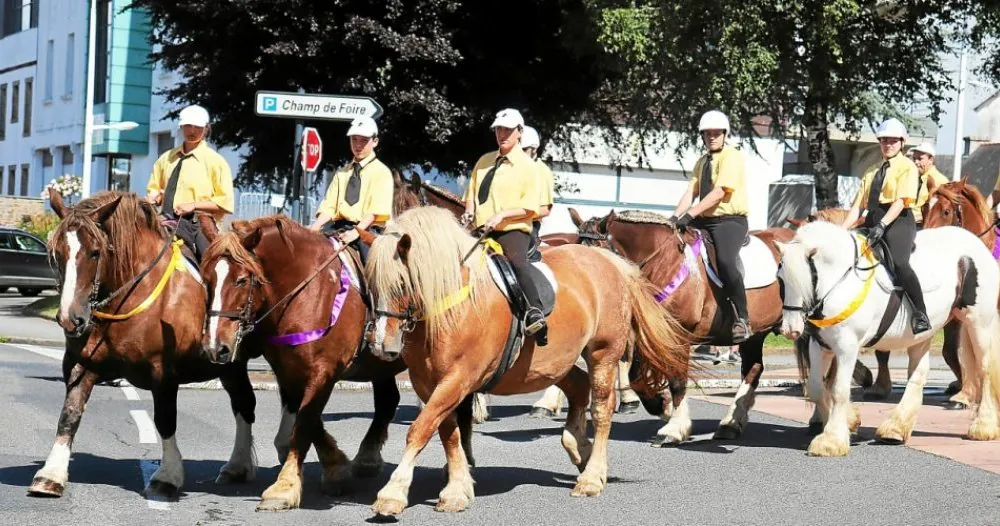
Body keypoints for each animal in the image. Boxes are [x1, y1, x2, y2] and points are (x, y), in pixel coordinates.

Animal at [31, 193, 258, 504]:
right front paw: (51, 474)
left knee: (247, 404)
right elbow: (70, 414)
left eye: (95, 252)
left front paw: (168, 476)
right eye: (57, 253)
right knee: (242, 403)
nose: (70, 318)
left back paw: (240, 465)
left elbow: (165, 419)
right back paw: (238, 466)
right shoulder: (82, 365)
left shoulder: (163, 372)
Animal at [364, 207, 692, 520]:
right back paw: (579, 448)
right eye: (370, 286)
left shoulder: (459, 378)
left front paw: (393, 494)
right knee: (578, 387)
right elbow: (448, 432)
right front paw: (456, 491)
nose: (380, 345)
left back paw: (592, 476)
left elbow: (420, 430)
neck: (450, 306)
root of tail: (609, 260)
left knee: (601, 409)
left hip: (603, 352)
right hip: (555, 362)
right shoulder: (429, 383)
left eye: (402, 284)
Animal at [592, 210, 796, 446]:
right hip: (756, 333)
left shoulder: (679, 334)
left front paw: (673, 429)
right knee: (753, 369)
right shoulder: (654, 335)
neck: (664, 263)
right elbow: (636, 377)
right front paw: (662, 407)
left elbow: (678, 380)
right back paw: (730, 423)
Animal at [776, 223, 1000, 458]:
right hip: (921, 336)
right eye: (781, 280)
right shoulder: (820, 345)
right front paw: (845, 424)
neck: (841, 281)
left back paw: (983, 426)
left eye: (806, 279)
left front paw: (831, 440)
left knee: (984, 369)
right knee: (918, 374)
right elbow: (816, 387)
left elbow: (838, 390)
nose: (790, 330)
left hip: (978, 323)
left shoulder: (847, 347)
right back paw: (895, 429)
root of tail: (975, 243)